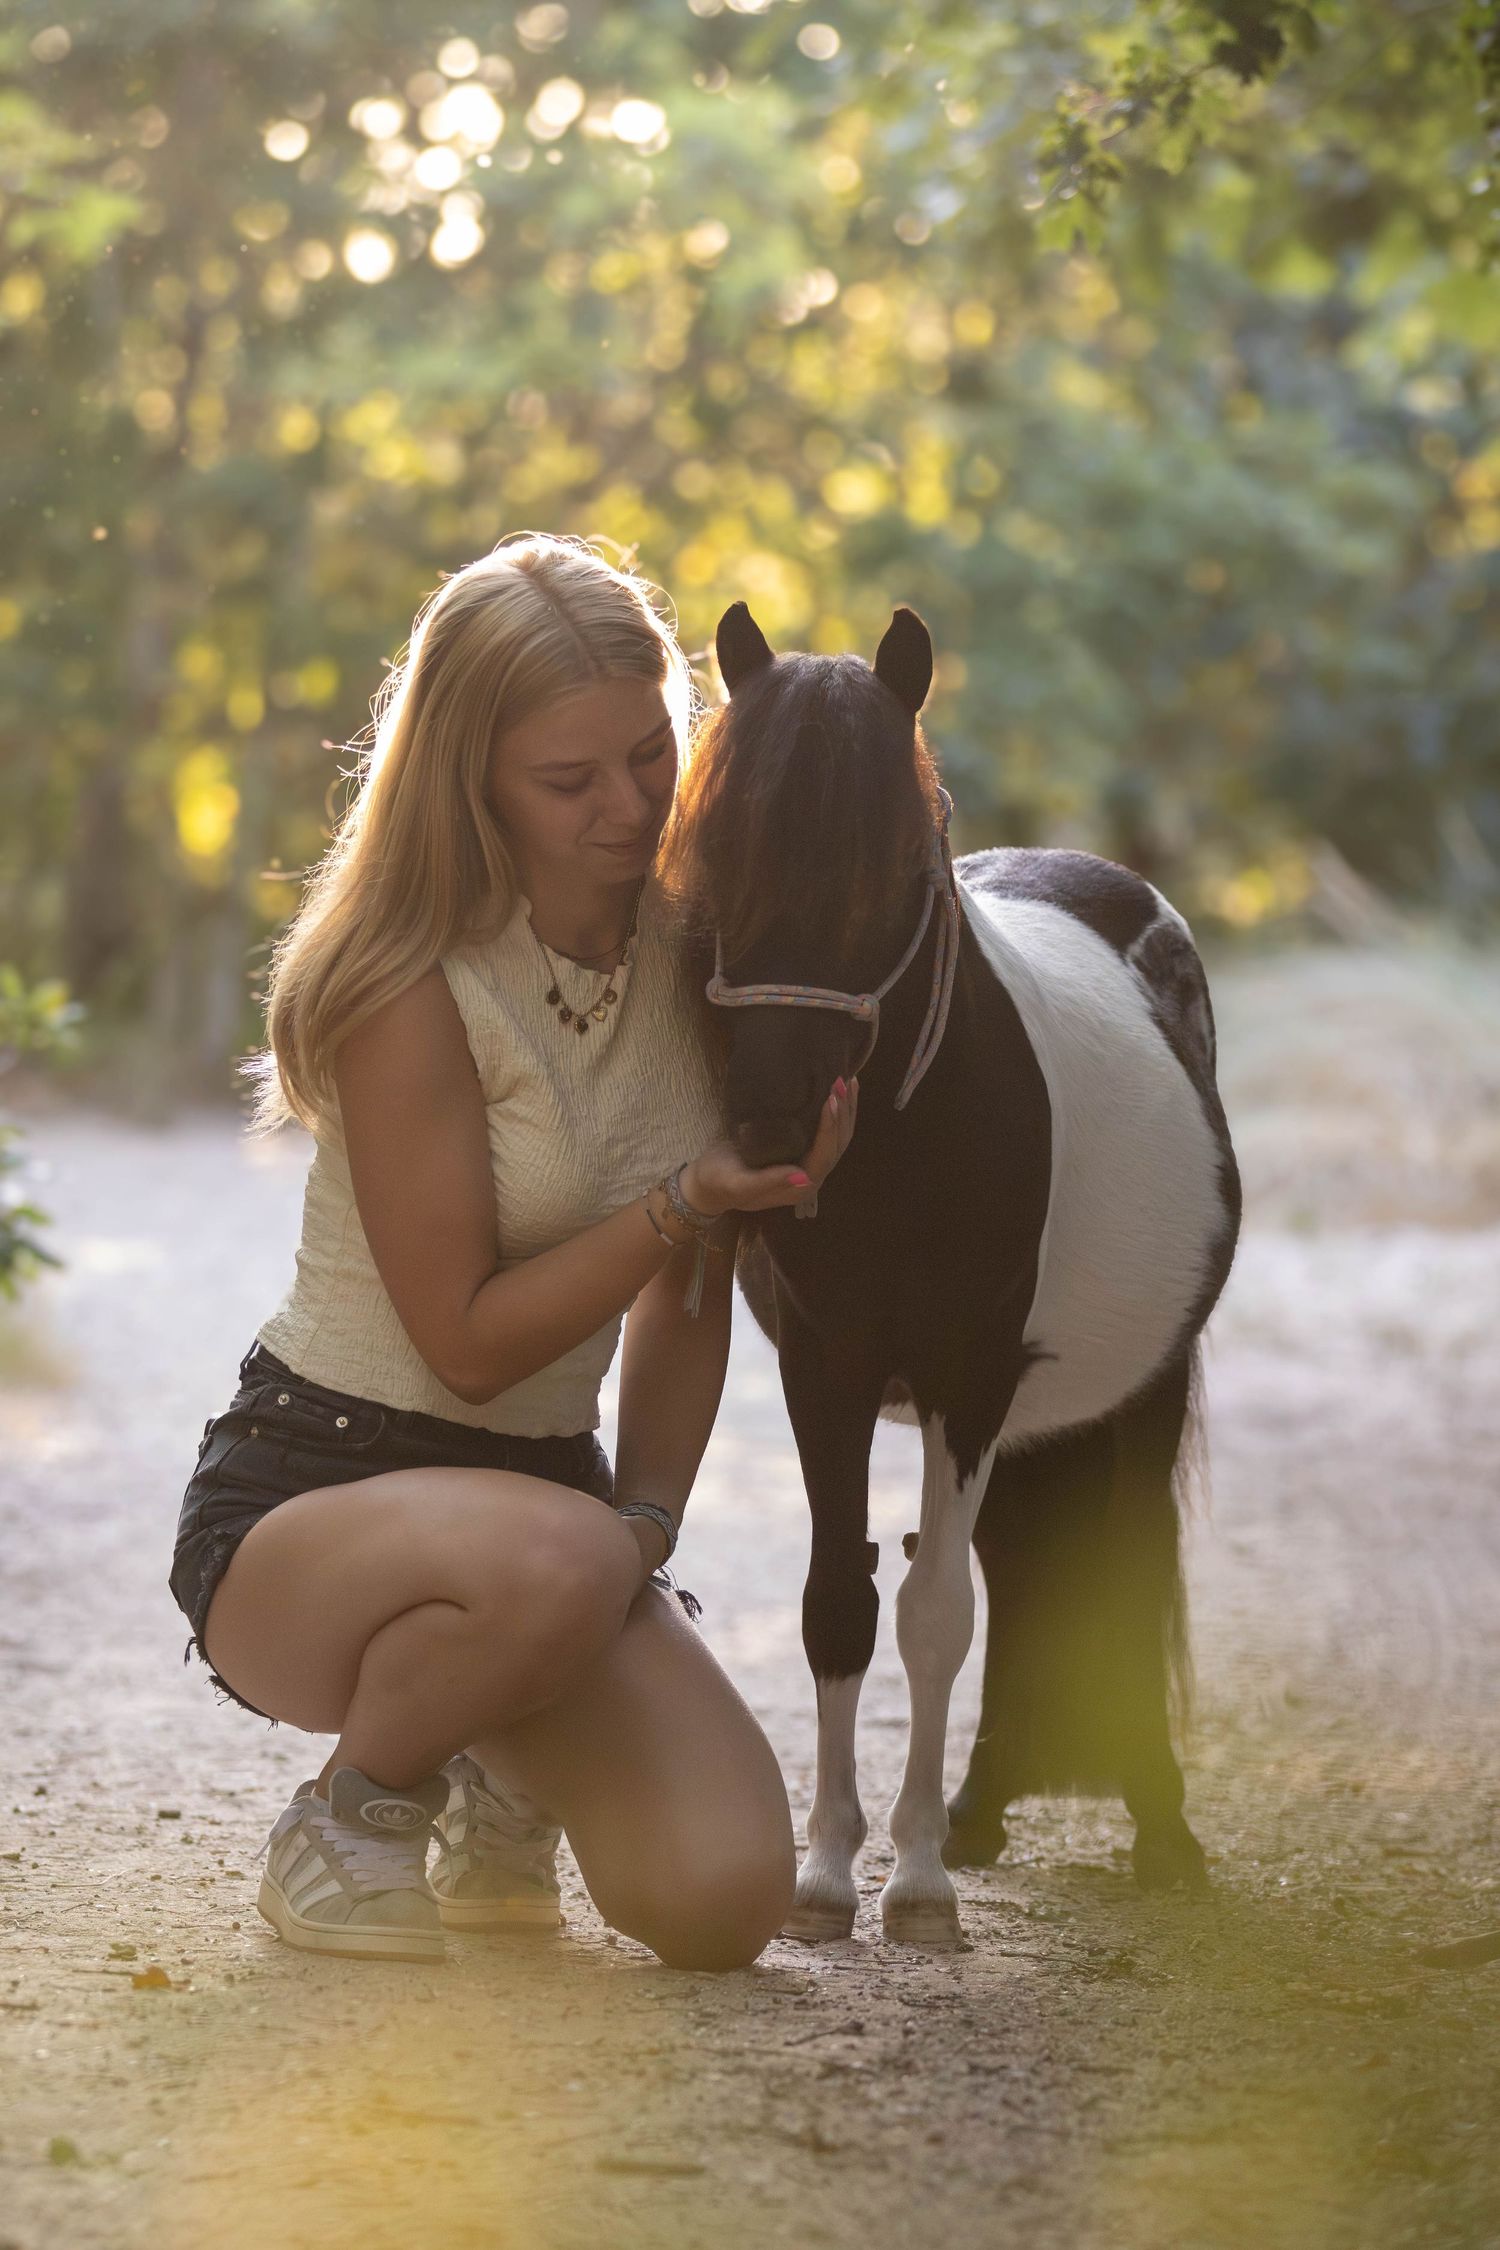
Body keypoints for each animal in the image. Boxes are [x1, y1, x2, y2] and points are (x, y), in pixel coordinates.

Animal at [658, 599, 1243, 1949]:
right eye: (720, 845)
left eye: (889, 871)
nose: (767, 1115)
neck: (907, 1142)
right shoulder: (830, 1371)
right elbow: (842, 1600)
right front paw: (830, 1874)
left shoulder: (969, 1376)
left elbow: (933, 1617)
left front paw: (915, 1882)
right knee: (1024, 1567)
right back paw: (984, 1811)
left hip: (1134, 1388)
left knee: (1123, 1565)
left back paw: (1159, 1832)